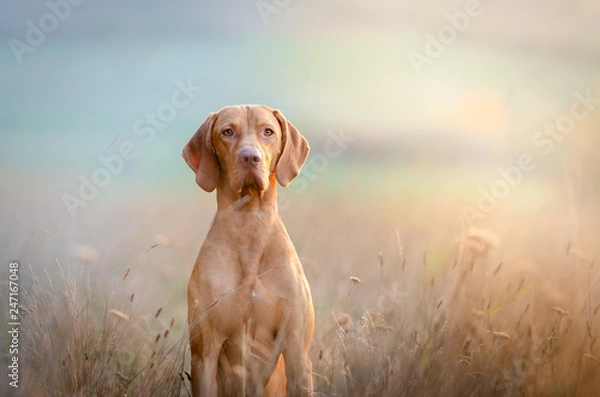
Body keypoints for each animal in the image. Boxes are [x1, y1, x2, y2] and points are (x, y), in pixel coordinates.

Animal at [182, 103, 314, 394]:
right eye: (227, 132)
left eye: (268, 132)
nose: (250, 157)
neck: (250, 223)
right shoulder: (204, 354)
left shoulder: (297, 352)